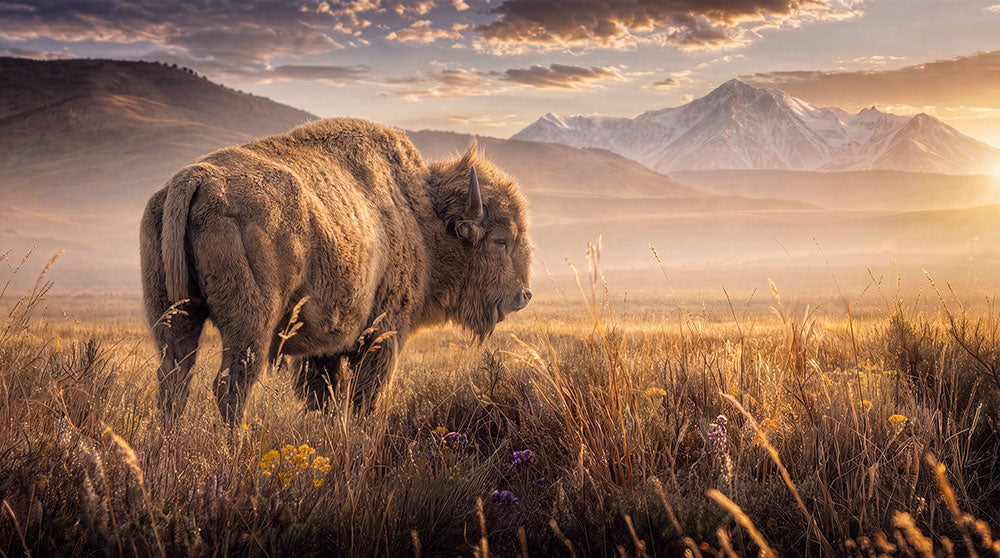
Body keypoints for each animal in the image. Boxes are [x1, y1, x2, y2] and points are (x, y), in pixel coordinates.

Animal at [140, 118, 533, 426]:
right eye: (501, 240)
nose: (523, 295)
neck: (419, 214)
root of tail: (195, 178)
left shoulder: (321, 349)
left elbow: (323, 396)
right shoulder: (382, 334)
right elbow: (363, 398)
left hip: (174, 316)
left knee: (174, 382)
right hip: (250, 325)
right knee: (231, 386)